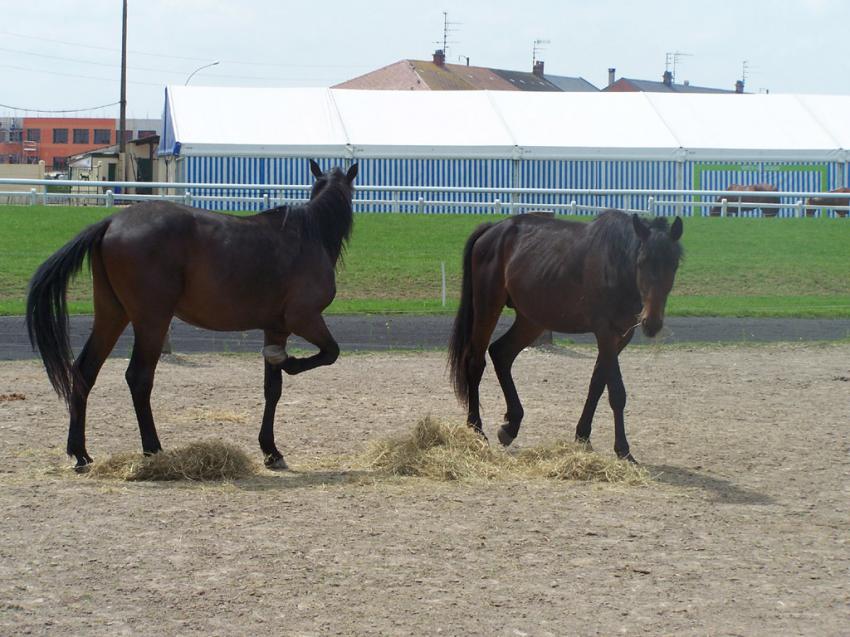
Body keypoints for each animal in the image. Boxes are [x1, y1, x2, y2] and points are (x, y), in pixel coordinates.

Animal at [27, 159, 358, 468]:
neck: (308, 235)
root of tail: (111, 221)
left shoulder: (275, 328)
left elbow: (272, 389)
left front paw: (271, 450)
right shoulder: (304, 319)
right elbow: (330, 353)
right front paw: (289, 363)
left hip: (112, 315)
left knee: (85, 372)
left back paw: (80, 452)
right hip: (152, 321)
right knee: (138, 378)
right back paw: (153, 449)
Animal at [450, 210, 684, 462]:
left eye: (673, 265)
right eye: (641, 263)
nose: (652, 323)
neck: (616, 262)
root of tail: (493, 230)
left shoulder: (620, 337)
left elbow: (597, 383)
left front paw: (583, 435)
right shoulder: (606, 332)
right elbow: (616, 392)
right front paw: (623, 449)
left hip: (532, 319)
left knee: (501, 353)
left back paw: (511, 426)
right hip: (488, 306)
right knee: (476, 362)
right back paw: (477, 429)